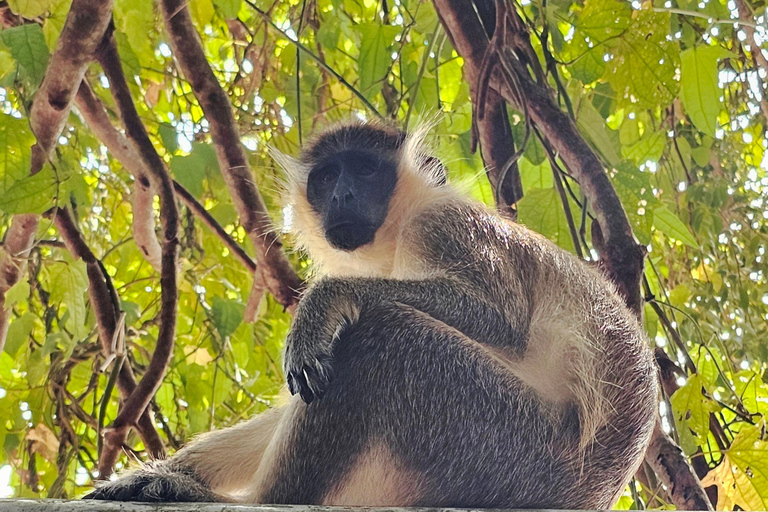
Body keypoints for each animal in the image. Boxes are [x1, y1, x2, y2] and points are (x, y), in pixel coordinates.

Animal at [85, 119, 660, 508]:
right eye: (326, 177)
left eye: (364, 169)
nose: (341, 193)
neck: (397, 232)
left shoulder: (446, 223)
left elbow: (499, 319)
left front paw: (324, 301)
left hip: (504, 448)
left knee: (382, 335)